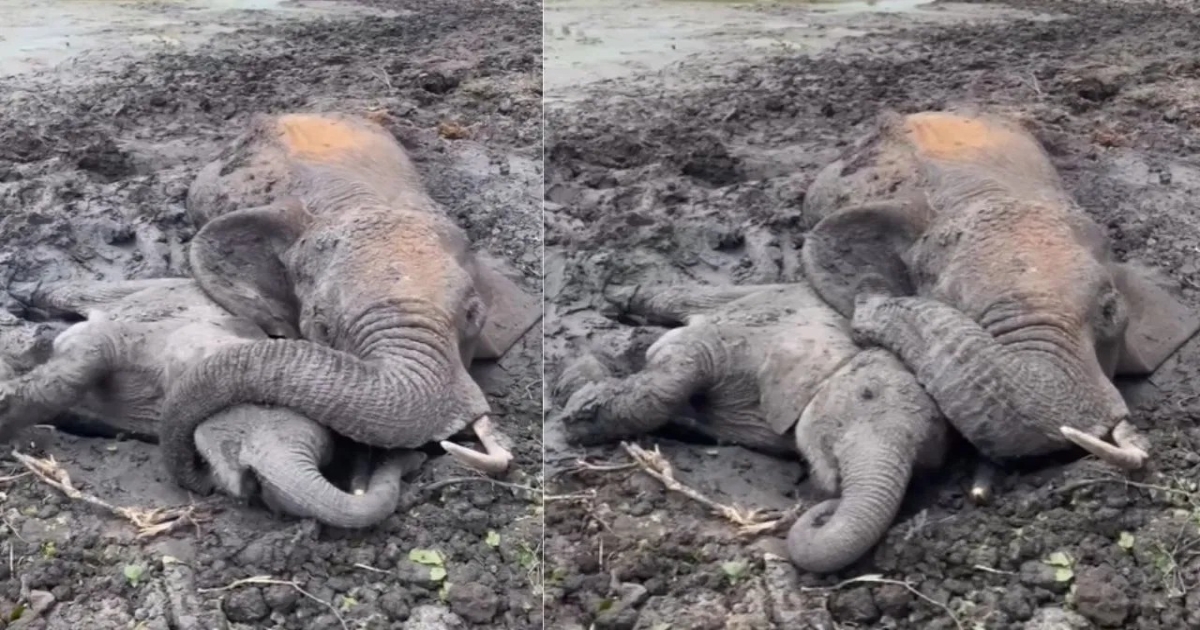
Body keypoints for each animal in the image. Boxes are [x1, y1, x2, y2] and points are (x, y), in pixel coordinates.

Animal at [551, 281, 949, 574]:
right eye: (867, 394)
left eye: (924, 463)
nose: (823, 511)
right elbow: (678, 368)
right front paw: (579, 419)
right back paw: (616, 304)